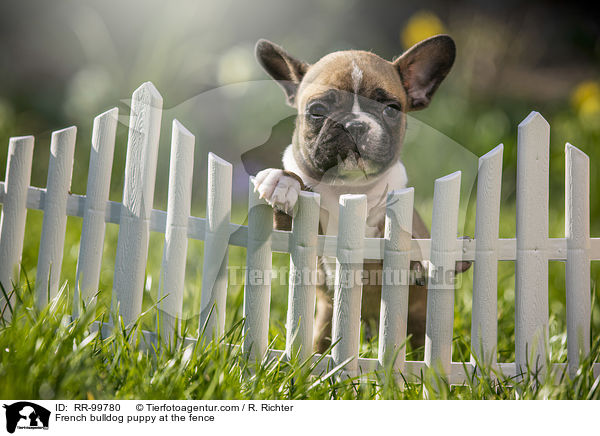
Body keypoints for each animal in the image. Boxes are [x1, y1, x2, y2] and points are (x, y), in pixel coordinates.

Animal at [252, 35, 464, 354]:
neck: (348, 189)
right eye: (317, 111)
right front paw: (282, 180)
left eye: (391, 108)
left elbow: (400, 235)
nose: (354, 124)